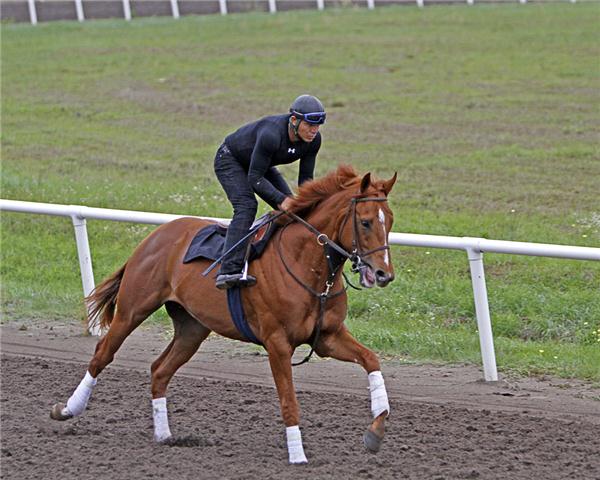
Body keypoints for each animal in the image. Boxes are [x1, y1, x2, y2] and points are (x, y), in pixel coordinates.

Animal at [51, 163, 396, 464]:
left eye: (390, 221)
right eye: (366, 222)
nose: (384, 274)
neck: (308, 267)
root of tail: (157, 234)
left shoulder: (327, 337)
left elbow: (371, 360)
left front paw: (376, 431)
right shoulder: (277, 343)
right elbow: (289, 400)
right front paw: (297, 455)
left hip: (192, 328)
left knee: (160, 369)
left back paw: (164, 435)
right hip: (132, 309)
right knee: (102, 354)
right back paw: (67, 409)